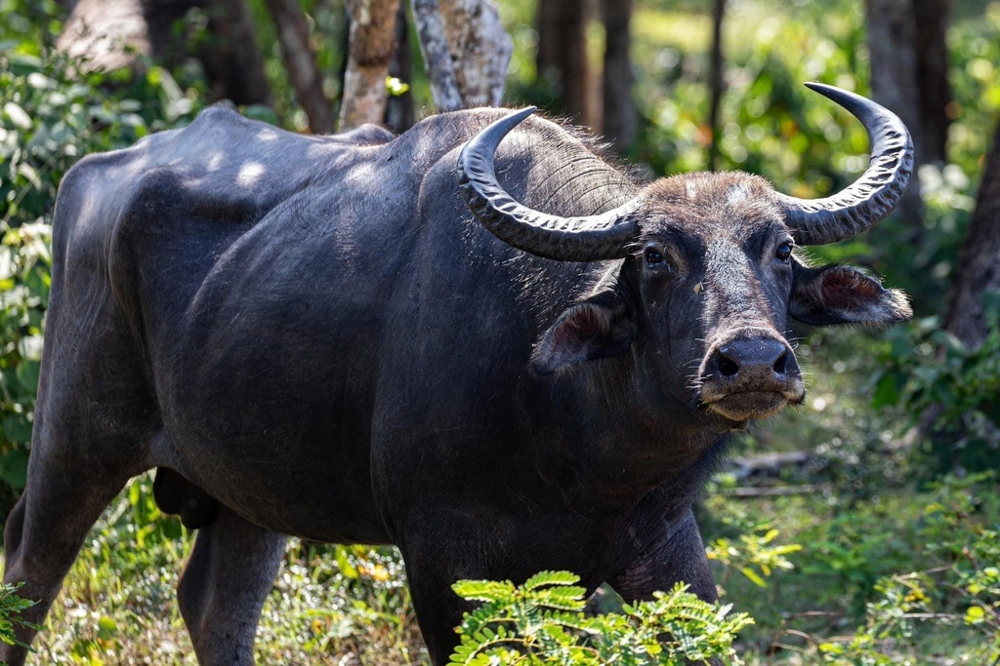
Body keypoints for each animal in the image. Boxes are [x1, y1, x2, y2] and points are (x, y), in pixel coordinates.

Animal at [0, 80, 912, 660]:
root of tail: (92, 177)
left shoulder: (662, 553)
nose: (752, 361)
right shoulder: (445, 567)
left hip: (249, 489)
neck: (582, 445)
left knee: (215, 607)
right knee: (28, 580)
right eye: (655, 255)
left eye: (781, 248)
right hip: (73, 441)